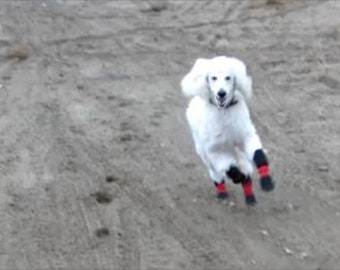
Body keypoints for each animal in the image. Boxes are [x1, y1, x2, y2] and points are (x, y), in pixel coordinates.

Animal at [181, 56, 274, 205]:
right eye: (213, 78)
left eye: (228, 77)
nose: (221, 93)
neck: (224, 111)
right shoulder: (215, 150)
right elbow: (231, 169)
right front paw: (238, 178)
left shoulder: (246, 137)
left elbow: (258, 155)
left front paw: (266, 182)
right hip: (204, 153)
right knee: (217, 173)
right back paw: (222, 192)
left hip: (235, 151)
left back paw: (250, 197)